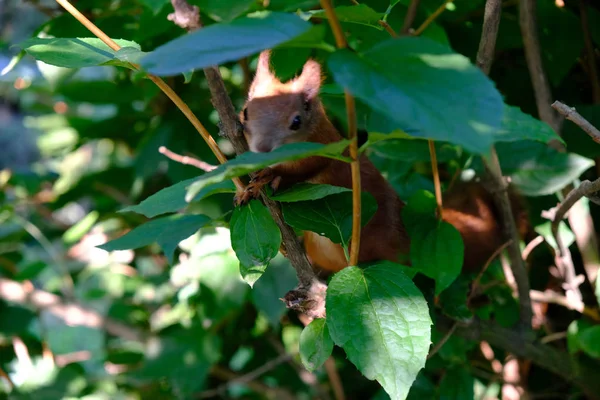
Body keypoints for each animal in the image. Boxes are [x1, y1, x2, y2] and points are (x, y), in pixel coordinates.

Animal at [237, 51, 528, 274]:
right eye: (246, 111)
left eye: (296, 121)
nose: (262, 149)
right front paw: (246, 188)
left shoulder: (327, 154)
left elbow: (307, 171)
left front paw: (270, 177)